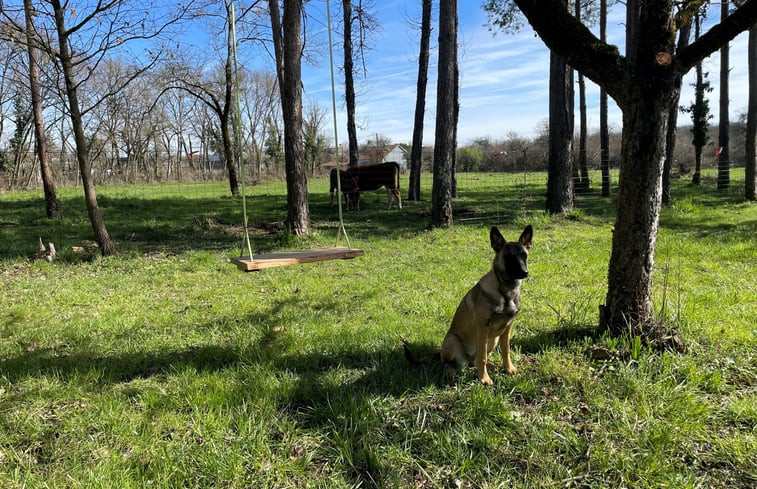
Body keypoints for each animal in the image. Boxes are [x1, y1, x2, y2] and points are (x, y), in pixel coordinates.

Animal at [402, 225, 532, 386]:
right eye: (508, 257)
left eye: (524, 255)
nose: (524, 272)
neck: (506, 292)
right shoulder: (483, 328)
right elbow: (482, 357)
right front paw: (484, 378)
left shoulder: (507, 328)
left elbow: (505, 350)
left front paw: (508, 369)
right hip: (452, 339)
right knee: (449, 363)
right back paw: (452, 374)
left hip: (493, 339)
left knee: (474, 361)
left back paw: (492, 364)